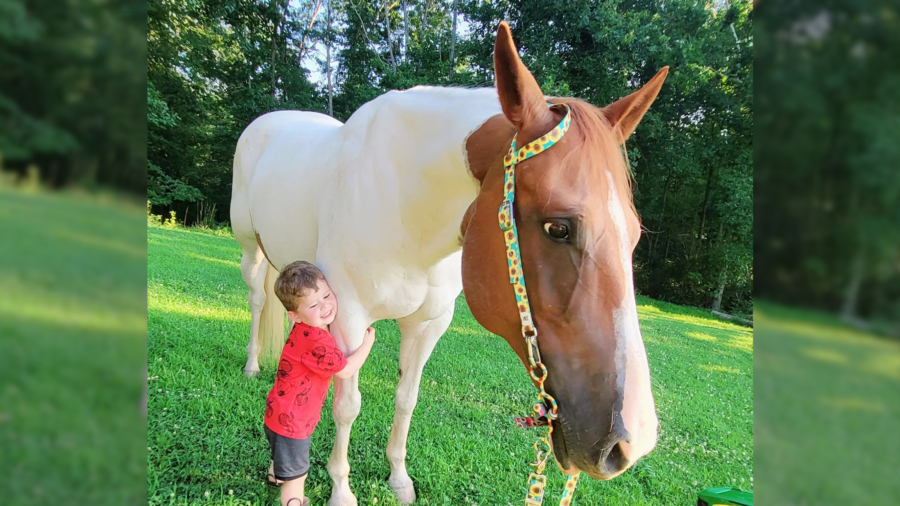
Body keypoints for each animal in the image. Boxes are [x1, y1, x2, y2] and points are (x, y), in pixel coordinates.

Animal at [230, 22, 667, 506]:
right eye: (558, 227)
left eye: (633, 233)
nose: (632, 441)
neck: (406, 206)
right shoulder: (347, 316)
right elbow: (347, 405)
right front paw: (342, 489)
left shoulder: (428, 323)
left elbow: (406, 397)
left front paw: (399, 479)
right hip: (251, 250)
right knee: (256, 300)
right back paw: (253, 366)